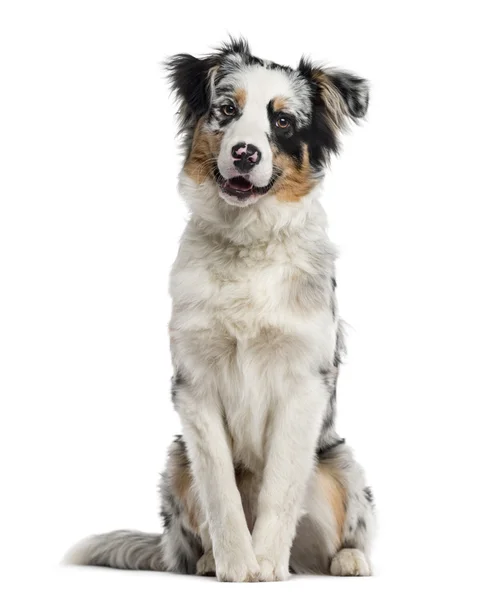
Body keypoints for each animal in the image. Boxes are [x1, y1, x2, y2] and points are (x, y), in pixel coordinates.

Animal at [66, 37, 376, 580]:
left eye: (283, 122)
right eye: (228, 110)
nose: (245, 152)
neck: (246, 241)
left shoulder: (303, 385)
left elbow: (280, 488)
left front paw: (266, 563)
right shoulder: (195, 387)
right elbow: (221, 492)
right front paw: (236, 564)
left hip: (341, 465)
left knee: (345, 527)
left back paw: (347, 559)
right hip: (175, 461)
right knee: (190, 537)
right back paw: (209, 560)